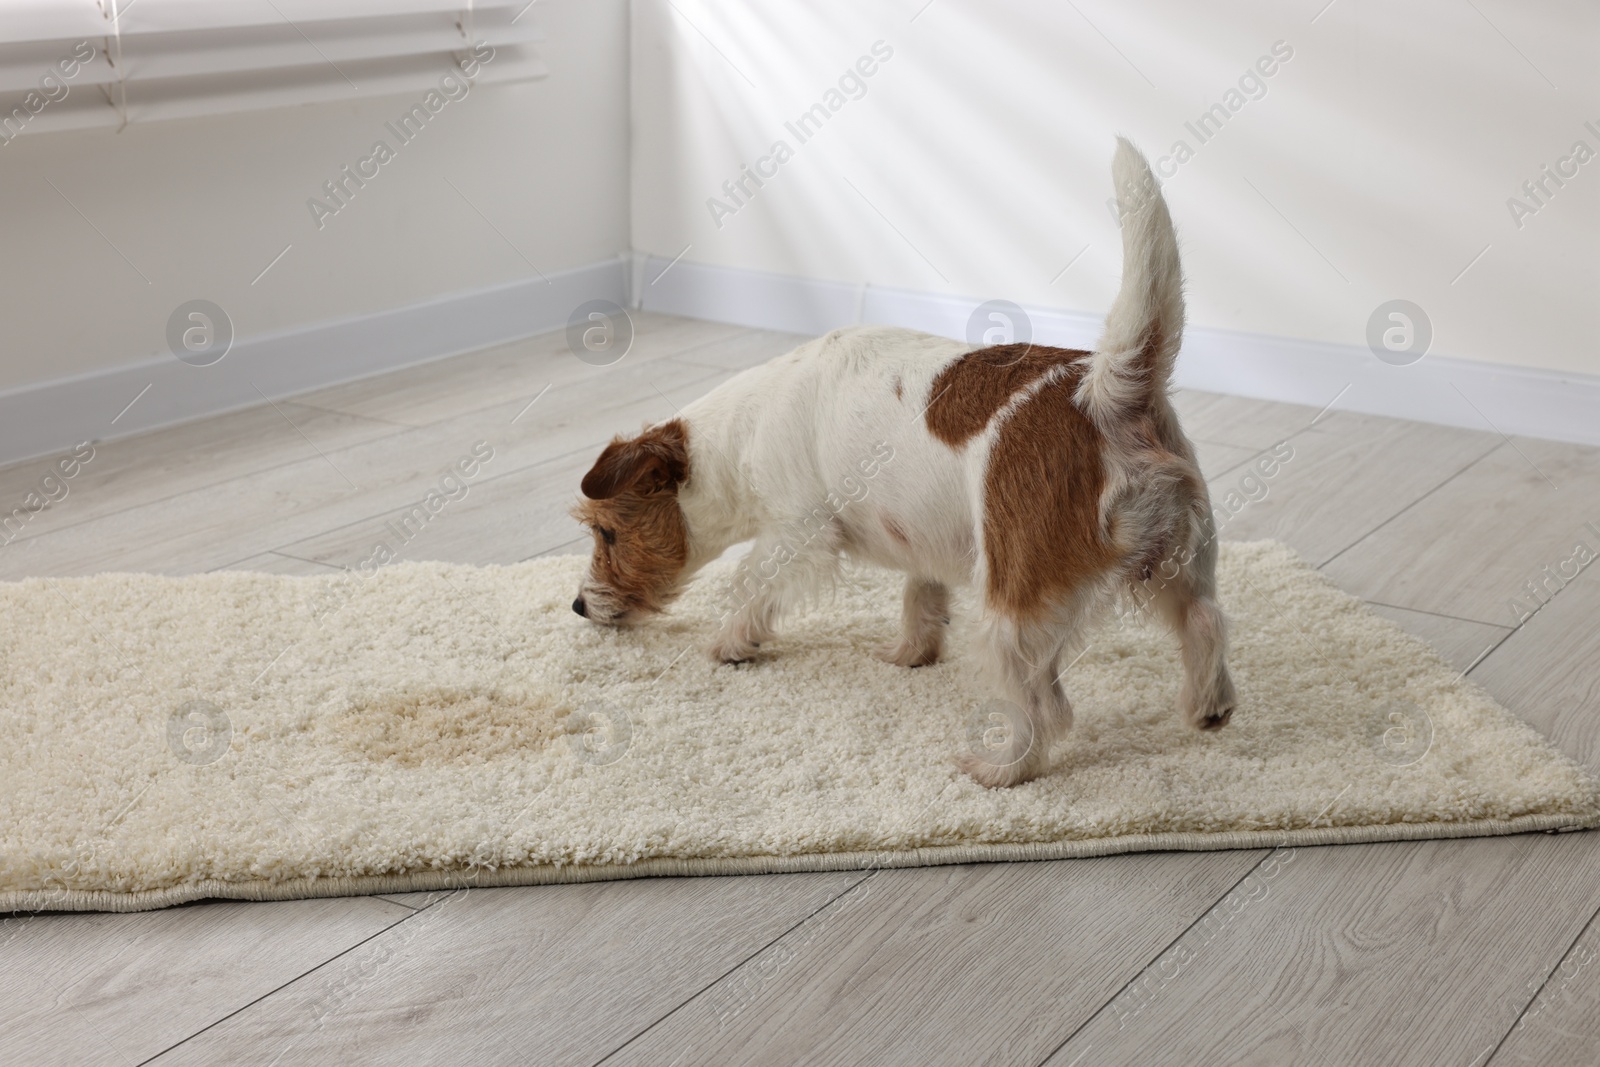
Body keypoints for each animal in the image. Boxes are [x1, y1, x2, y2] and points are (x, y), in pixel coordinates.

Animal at [576, 139, 1235, 783]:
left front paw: (731, 644)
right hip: (1179, 563)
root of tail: (1106, 390)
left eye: (607, 533)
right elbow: (922, 595)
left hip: (1014, 603)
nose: (579, 605)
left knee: (1042, 704)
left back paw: (999, 768)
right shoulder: (926, 538)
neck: (742, 430)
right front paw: (912, 653)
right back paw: (1208, 708)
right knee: (1206, 622)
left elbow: (750, 583)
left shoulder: (796, 534)